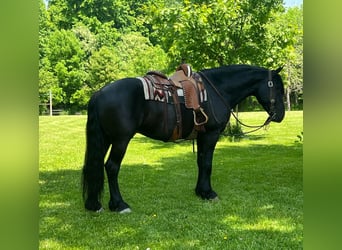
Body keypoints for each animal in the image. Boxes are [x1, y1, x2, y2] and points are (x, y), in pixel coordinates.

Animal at [81, 64, 284, 213]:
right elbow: (208, 164)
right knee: (111, 167)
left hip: (106, 138)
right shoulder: (211, 134)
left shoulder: (202, 136)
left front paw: (200, 191)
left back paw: (94, 204)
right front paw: (209, 193)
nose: (280, 115)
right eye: (277, 88)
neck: (217, 90)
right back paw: (119, 205)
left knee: (95, 165)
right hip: (121, 140)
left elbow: (201, 162)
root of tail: (99, 93)